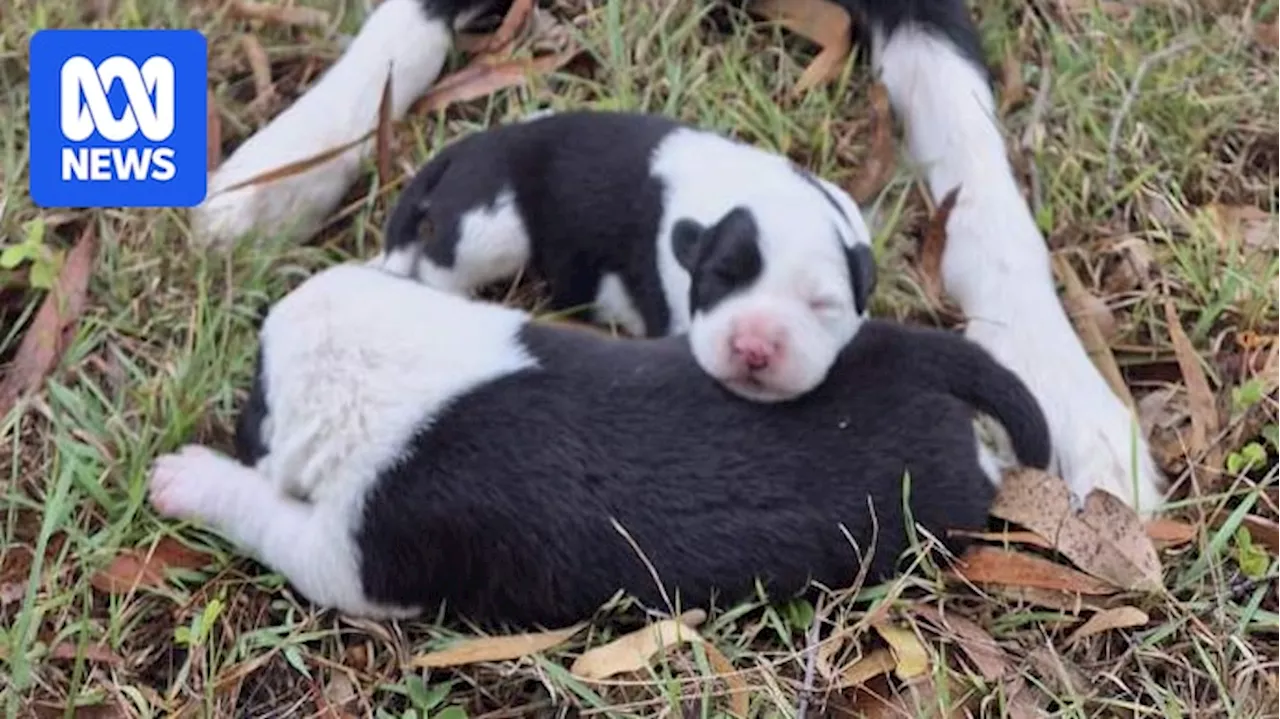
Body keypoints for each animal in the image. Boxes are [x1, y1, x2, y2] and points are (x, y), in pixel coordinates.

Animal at [373, 110, 875, 404]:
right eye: (720, 278)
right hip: (492, 226)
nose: (754, 348)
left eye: (822, 305)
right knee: (441, 264)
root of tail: (470, 146)